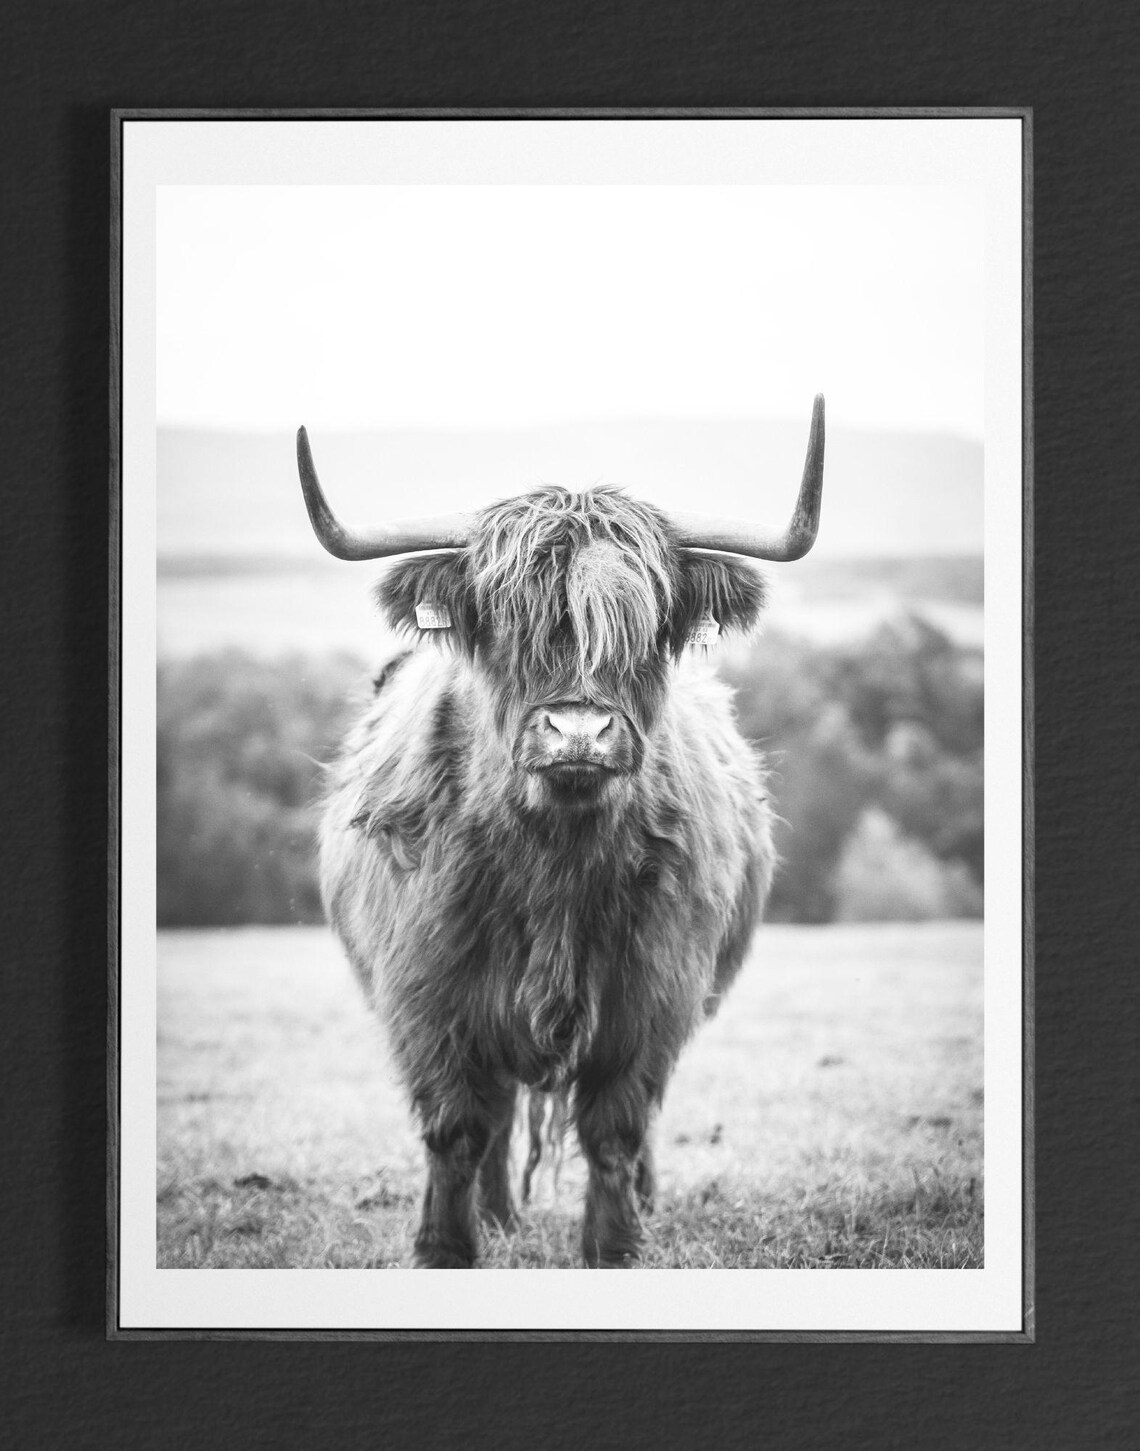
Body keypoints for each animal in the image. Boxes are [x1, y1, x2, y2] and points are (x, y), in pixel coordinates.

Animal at [296, 398, 825, 1267]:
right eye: (506, 624)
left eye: (646, 629)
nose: (578, 729)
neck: (555, 861)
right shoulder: (429, 995)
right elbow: (457, 1127)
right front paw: (447, 1245)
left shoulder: (653, 995)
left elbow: (615, 1128)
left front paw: (614, 1244)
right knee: (499, 1112)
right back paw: (499, 1216)